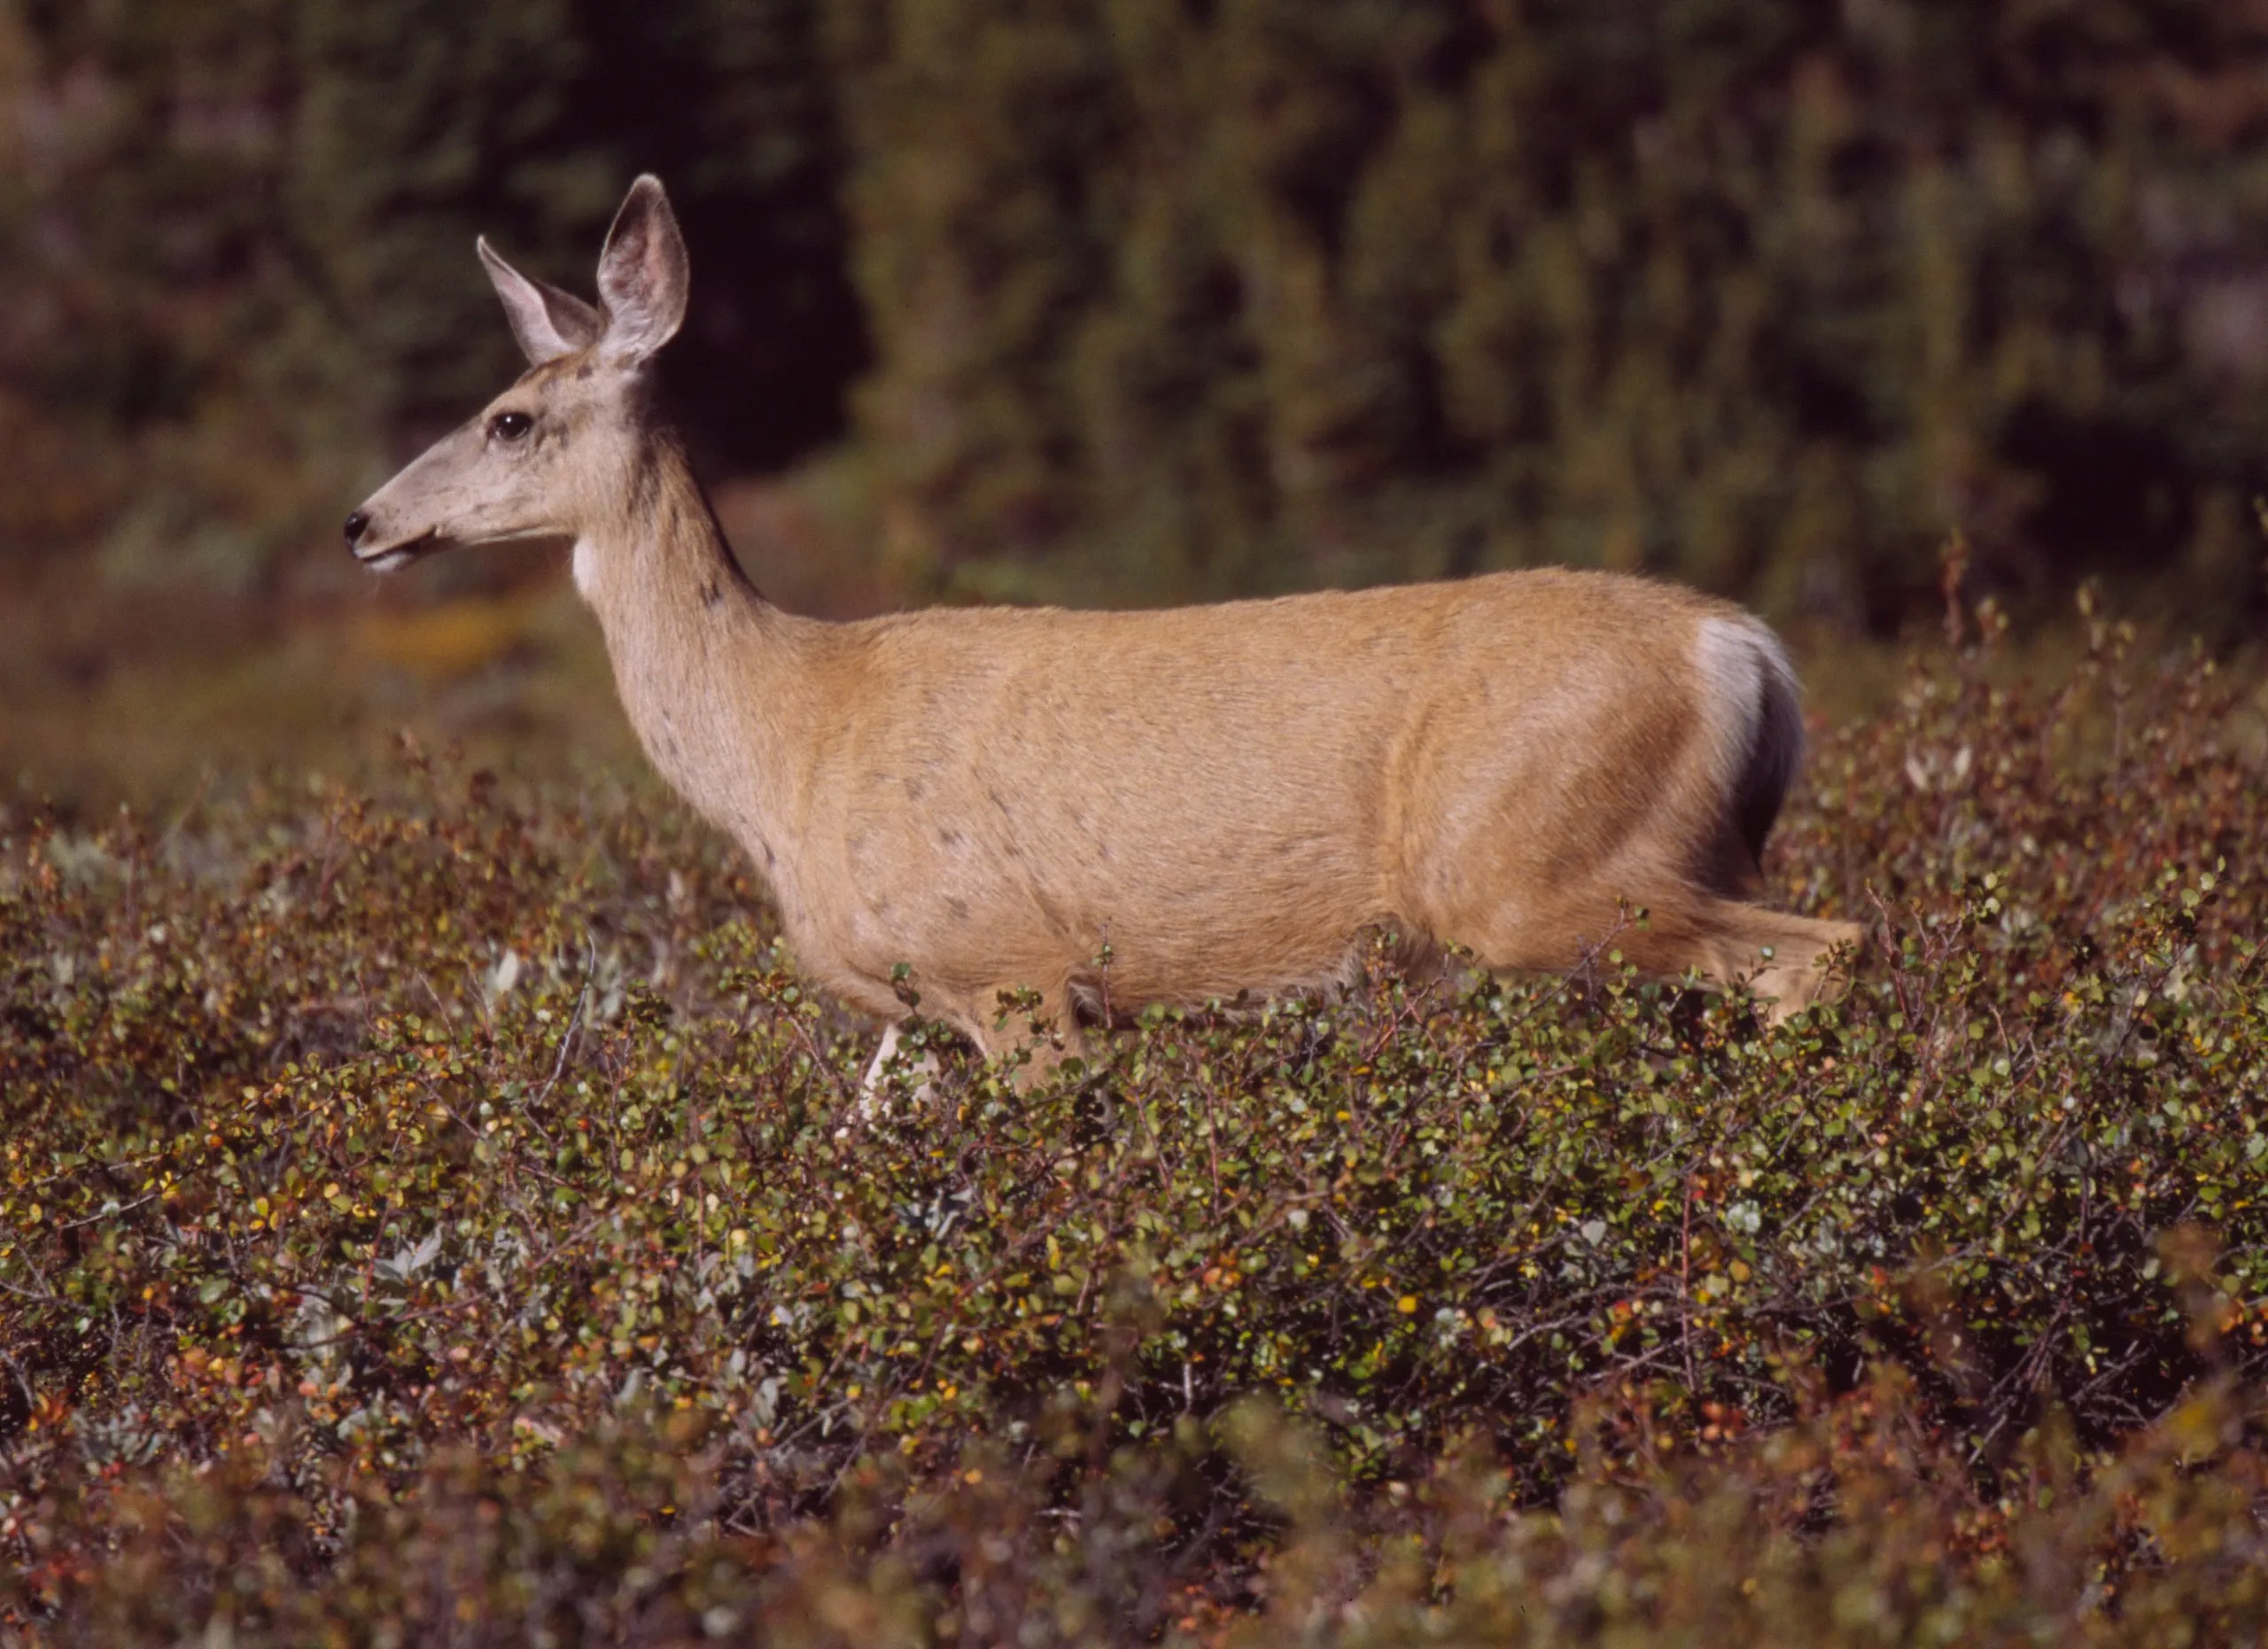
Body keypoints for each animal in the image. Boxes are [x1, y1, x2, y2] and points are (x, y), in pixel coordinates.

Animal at [340, 176, 1860, 1084]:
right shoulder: (929, 1016)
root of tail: (1746, 650)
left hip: (1538, 865)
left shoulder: (1011, 968)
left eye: (509, 419)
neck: (788, 736)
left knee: (1822, 949)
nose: (363, 522)